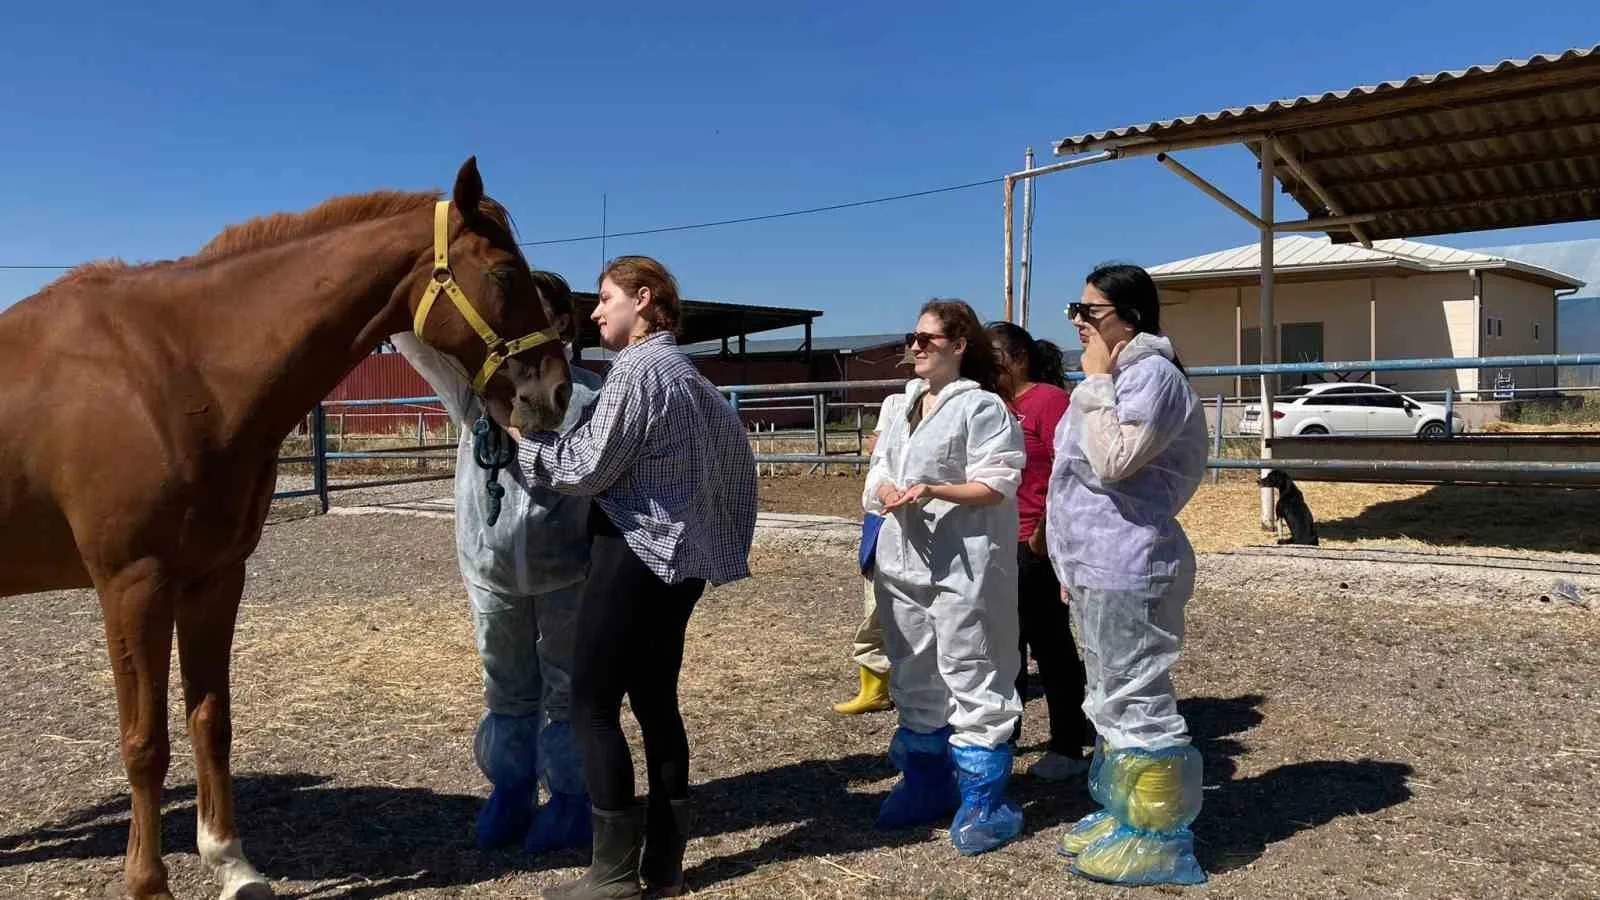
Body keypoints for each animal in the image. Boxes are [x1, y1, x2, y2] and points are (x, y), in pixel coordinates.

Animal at [0, 157, 572, 890]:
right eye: (503, 274)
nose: (555, 392)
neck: (175, 372)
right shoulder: (132, 587)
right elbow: (145, 742)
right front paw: (148, 882)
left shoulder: (214, 578)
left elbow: (210, 720)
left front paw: (231, 862)